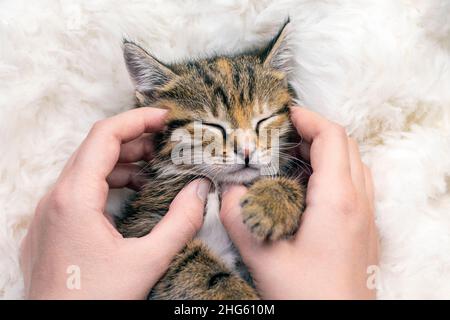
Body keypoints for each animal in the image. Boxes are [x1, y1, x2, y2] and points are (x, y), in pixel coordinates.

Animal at [116, 20, 306, 300]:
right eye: (212, 126)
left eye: (264, 120)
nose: (246, 150)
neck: (218, 186)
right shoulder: (141, 228)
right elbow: (188, 264)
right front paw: (236, 294)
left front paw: (272, 202)